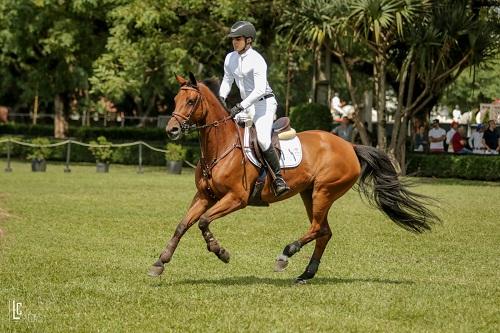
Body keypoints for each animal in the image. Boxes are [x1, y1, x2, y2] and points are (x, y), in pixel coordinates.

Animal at [149, 74, 442, 282]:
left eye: (191, 101)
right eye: (174, 100)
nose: (171, 130)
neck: (220, 147)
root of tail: (350, 146)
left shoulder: (236, 198)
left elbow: (203, 222)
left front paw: (221, 252)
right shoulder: (204, 196)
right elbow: (182, 225)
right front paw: (160, 262)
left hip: (323, 191)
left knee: (317, 228)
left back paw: (285, 255)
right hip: (309, 193)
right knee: (324, 231)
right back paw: (306, 274)